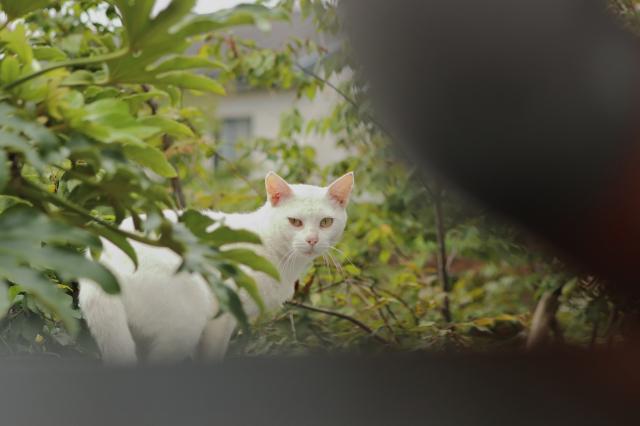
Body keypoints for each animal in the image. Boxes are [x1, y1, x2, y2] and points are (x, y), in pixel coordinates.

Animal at [79, 171, 354, 365]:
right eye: (295, 222)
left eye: (326, 222)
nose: (312, 240)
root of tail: (100, 265)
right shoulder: (221, 318)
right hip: (188, 320)